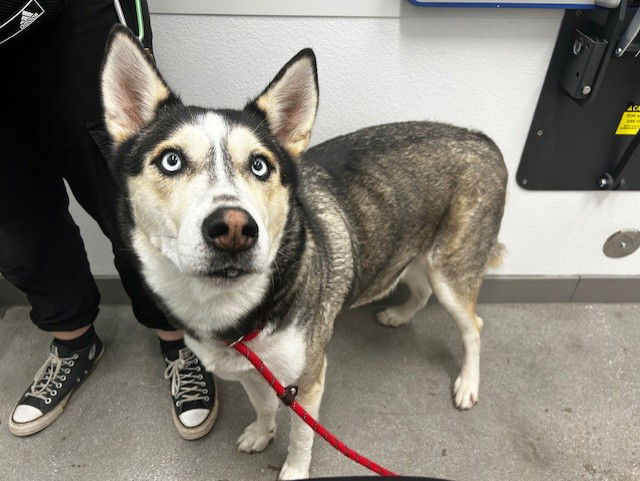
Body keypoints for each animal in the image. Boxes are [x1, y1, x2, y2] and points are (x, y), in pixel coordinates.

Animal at [100, 27, 508, 480]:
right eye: (171, 161)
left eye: (260, 165)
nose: (234, 230)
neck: (233, 311)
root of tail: (480, 138)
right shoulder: (252, 371)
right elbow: (263, 406)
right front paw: (262, 434)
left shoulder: (308, 380)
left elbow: (302, 436)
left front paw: (294, 470)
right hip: (416, 255)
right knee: (419, 290)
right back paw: (399, 315)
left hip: (450, 270)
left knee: (473, 325)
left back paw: (468, 385)